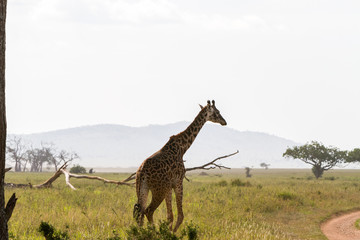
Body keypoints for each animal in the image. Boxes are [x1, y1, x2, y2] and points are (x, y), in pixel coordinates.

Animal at [134, 100, 226, 232]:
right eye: (217, 112)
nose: (224, 122)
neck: (183, 148)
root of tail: (142, 171)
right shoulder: (178, 182)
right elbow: (180, 215)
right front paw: (171, 232)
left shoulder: (169, 186)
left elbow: (170, 216)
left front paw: (168, 231)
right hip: (159, 190)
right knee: (148, 211)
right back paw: (154, 231)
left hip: (142, 188)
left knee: (139, 212)